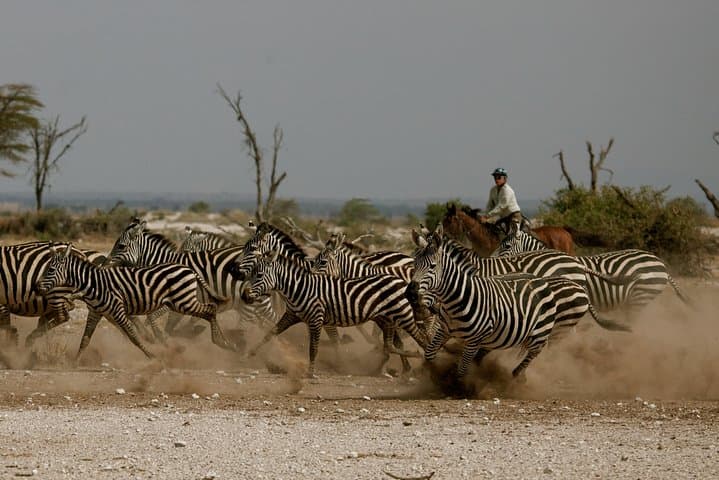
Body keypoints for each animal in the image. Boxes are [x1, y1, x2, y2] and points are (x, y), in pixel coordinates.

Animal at [35, 243, 232, 359]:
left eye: (50, 270)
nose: (36, 287)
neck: (93, 284)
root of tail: (189, 269)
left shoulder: (117, 310)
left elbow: (133, 335)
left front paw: (151, 355)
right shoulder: (96, 312)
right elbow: (85, 339)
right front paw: (75, 362)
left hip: (183, 301)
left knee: (210, 309)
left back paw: (222, 343)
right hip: (182, 301)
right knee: (210, 309)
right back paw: (225, 343)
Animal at [239, 249, 428, 377]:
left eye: (259, 275)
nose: (244, 296)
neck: (297, 289)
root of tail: (400, 279)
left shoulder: (316, 319)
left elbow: (313, 348)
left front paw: (311, 373)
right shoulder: (292, 315)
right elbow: (270, 333)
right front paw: (250, 353)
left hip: (403, 314)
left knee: (421, 337)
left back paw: (425, 361)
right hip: (385, 318)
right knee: (390, 345)